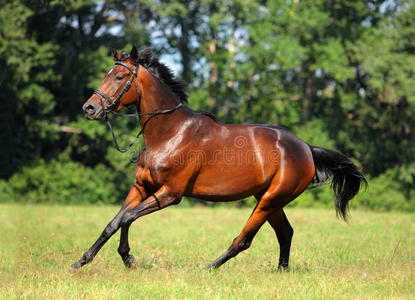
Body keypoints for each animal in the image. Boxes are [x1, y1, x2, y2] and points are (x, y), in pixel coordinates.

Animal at [74, 45, 368, 270]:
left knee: (245, 240)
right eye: (108, 73)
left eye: (121, 76)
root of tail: (306, 148)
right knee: (285, 233)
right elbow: (115, 222)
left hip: (270, 200)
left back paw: (209, 268)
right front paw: (83, 261)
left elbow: (127, 218)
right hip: (268, 198)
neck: (170, 134)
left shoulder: (170, 193)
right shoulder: (142, 186)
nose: (89, 108)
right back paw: (281, 272)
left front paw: (129, 259)